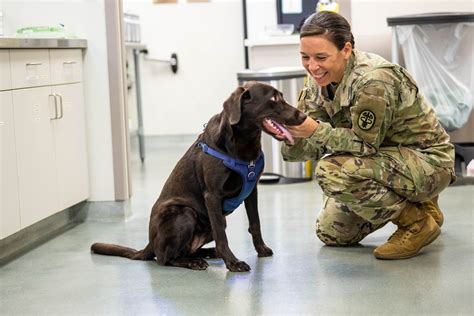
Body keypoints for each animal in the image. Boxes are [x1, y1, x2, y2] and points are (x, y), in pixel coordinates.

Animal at [91, 82, 308, 272]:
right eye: (273, 98)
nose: (304, 115)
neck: (243, 145)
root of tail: (150, 243)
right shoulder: (212, 196)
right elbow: (222, 236)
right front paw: (233, 263)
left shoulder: (252, 190)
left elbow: (255, 223)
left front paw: (261, 249)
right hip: (184, 213)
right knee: (165, 258)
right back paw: (195, 262)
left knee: (186, 250)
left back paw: (208, 254)